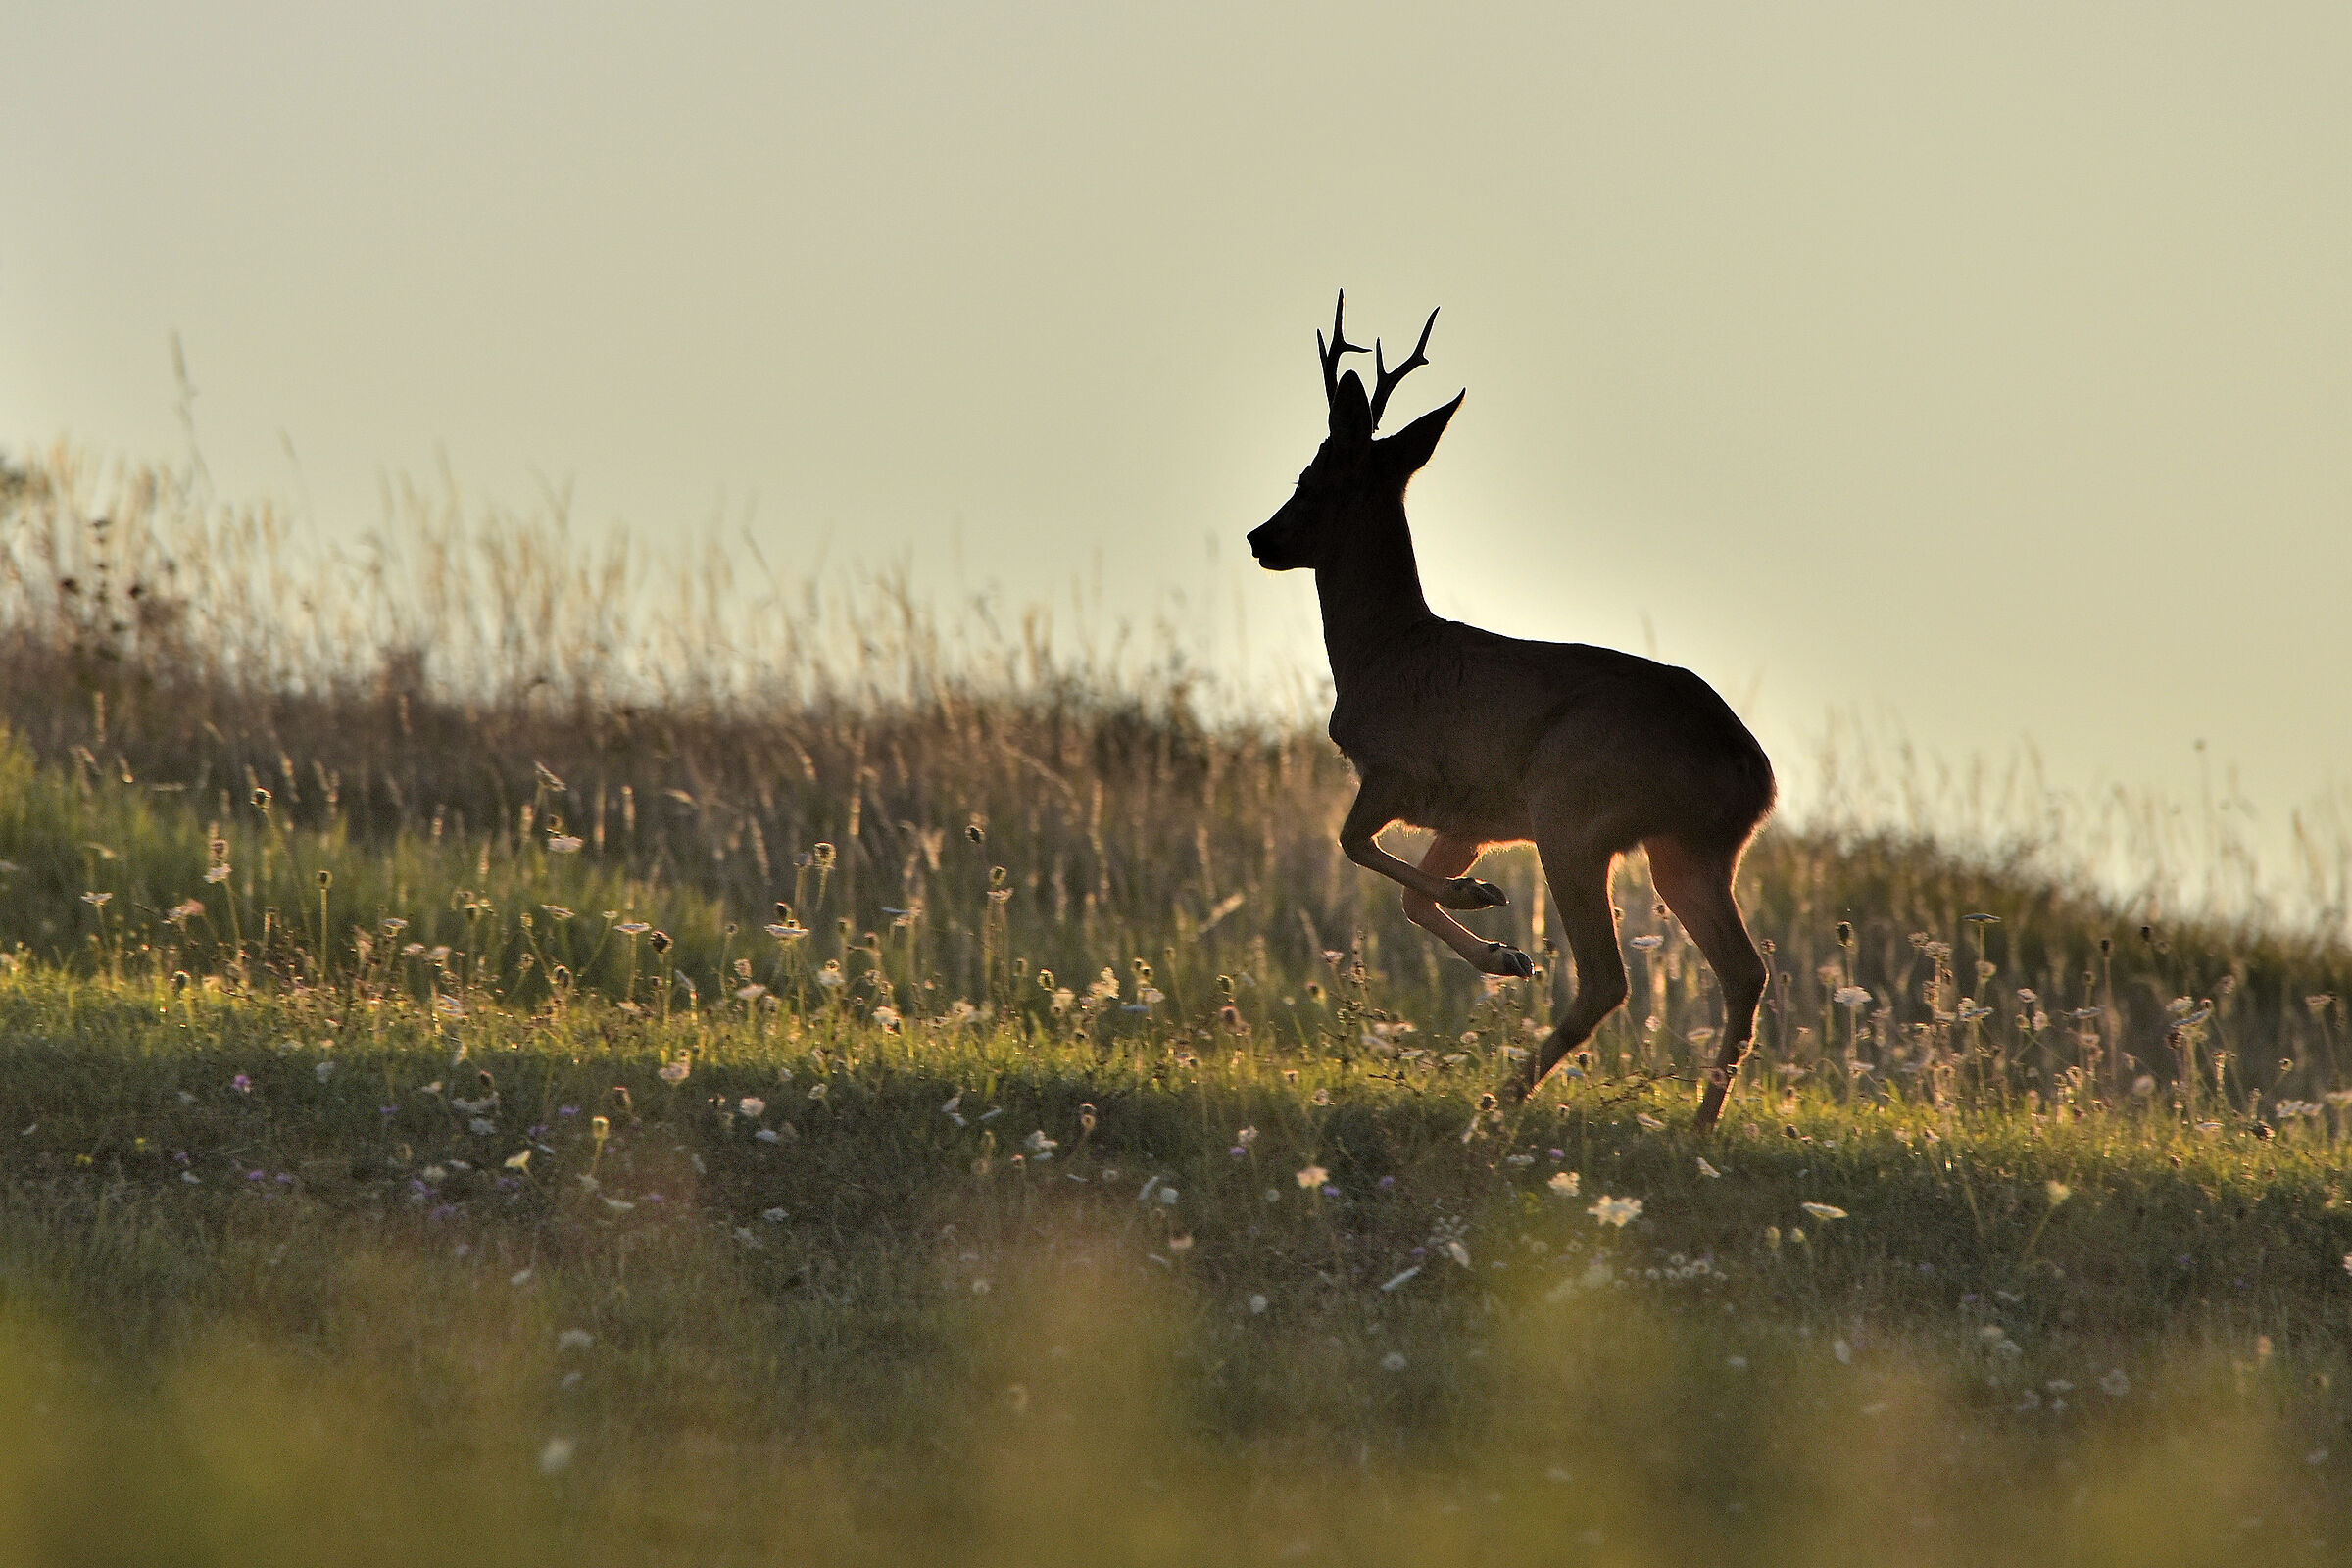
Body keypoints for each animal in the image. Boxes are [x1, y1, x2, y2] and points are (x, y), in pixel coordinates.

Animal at [1247, 294, 1777, 1131]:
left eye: (1312, 477)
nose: (1260, 538)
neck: (1386, 649)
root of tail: (1755, 777)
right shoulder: (1471, 815)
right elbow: (1408, 896)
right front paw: (1504, 954)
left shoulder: (1402, 770)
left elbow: (1354, 845)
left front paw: (1486, 903)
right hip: (1688, 850)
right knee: (1744, 972)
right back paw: (1698, 1125)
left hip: (1573, 816)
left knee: (1610, 978)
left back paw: (1499, 1101)